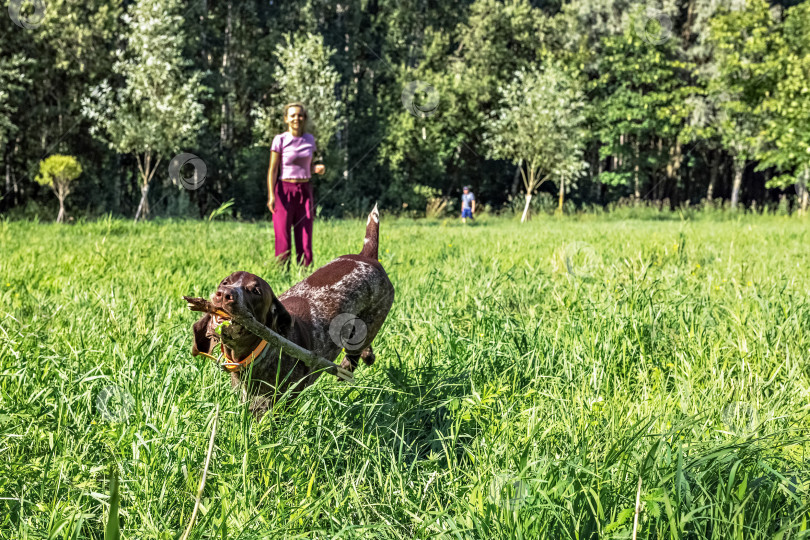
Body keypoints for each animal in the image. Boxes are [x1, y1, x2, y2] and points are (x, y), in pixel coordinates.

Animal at [189, 204, 392, 418]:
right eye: (225, 282)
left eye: (255, 291)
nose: (224, 294)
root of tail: (367, 257)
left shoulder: (282, 402)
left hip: (371, 323)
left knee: (357, 348)